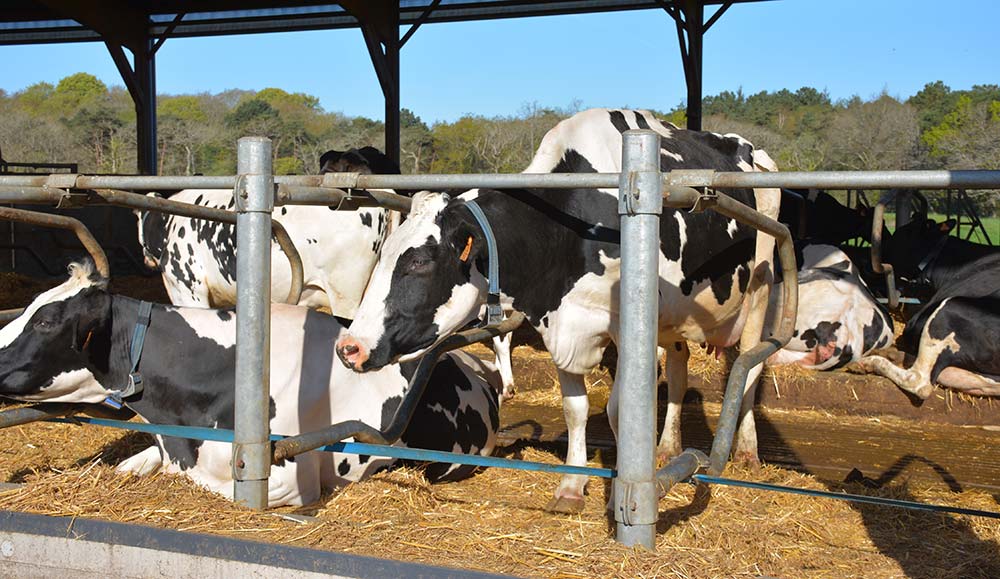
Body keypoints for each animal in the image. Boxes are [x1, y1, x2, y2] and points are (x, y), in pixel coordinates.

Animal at [330, 107, 780, 512]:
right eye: (384, 252)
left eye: (420, 261)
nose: (349, 347)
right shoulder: (560, 324)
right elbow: (575, 410)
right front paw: (571, 487)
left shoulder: (626, 330)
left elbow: (618, 411)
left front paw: (620, 491)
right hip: (674, 316)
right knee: (679, 371)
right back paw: (669, 447)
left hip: (760, 288)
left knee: (750, 367)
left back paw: (746, 450)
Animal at [856, 218, 1000, 398]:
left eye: (901, 234)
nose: (864, 260)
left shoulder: (916, 322)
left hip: (950, 309)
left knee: (919, 382)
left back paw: (871, 362)